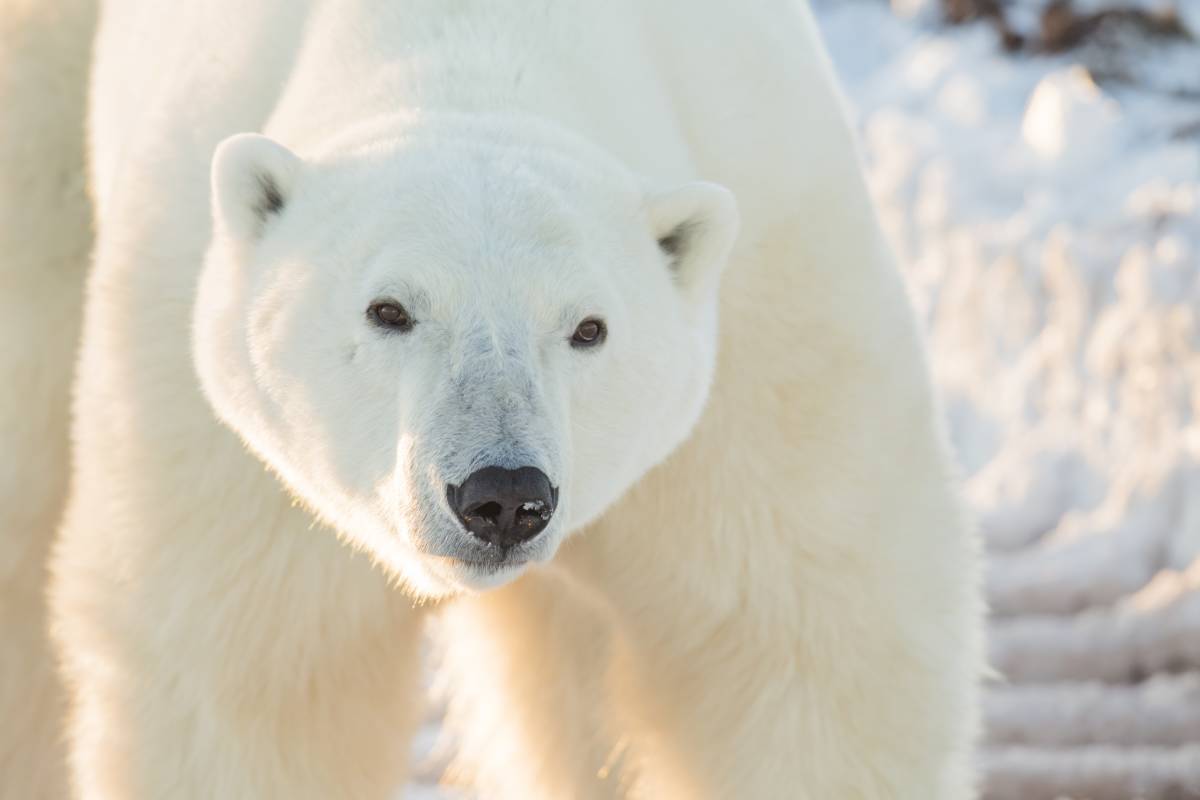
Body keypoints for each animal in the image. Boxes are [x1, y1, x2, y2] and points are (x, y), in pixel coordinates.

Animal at [49, 1, 984, 800]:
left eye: (588, 328)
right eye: (389, 309)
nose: (502, 496)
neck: (478, 35)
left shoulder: (772, 311)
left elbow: (795, 643)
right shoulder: (216, 418)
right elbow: (243, 674)